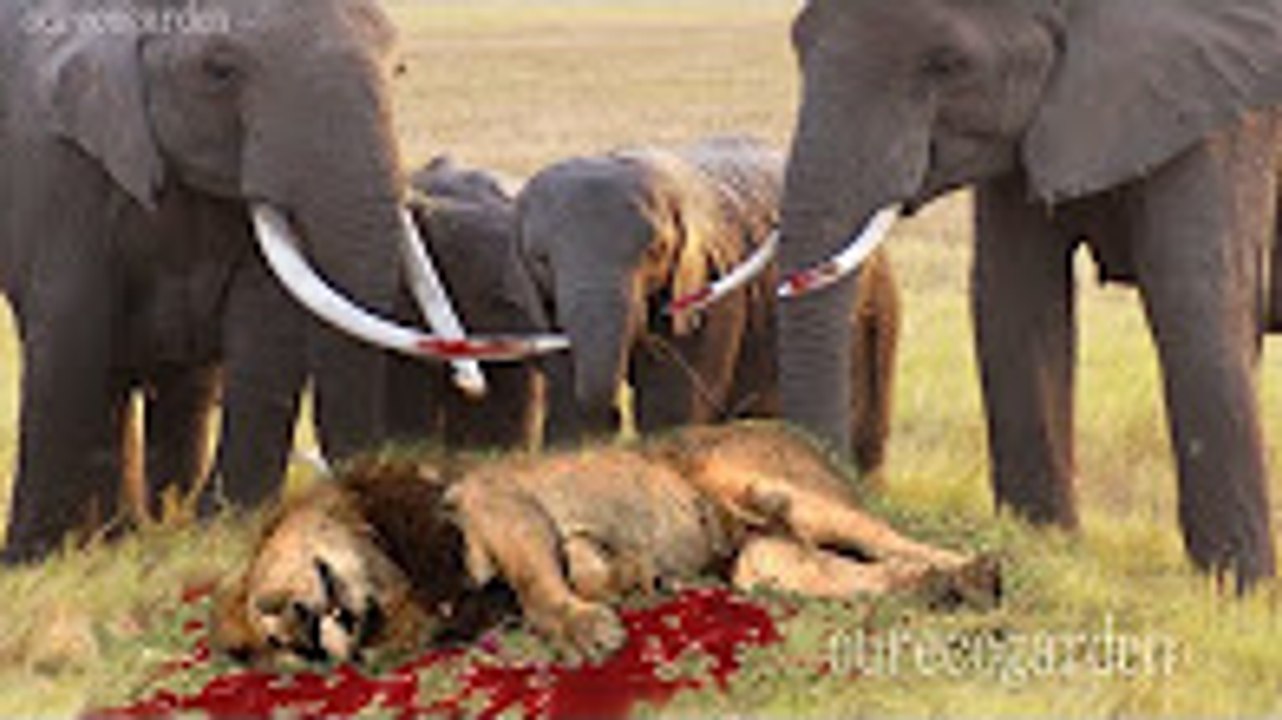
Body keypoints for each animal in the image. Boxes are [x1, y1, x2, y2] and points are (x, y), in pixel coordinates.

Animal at [0, 0, 502, 563]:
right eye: (219, 71)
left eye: (398, 70)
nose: (471, 383)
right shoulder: (50, 164)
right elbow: (70, 332)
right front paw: (32, 559)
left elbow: (266, 325)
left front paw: (224, 532)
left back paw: (141, 530)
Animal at [212, 423, 999, 665]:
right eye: (280, 647)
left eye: (272, 606)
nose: (310, 630)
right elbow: (574, 574)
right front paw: (618, 582)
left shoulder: (497, 501)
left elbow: (540, 586)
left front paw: (583, 627)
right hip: (763, 563)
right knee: (851, 570)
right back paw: (945, 590)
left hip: (772, 484)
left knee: (894, 539)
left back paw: (978, 573)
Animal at [515, 137, 900, 473]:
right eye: (541, 260)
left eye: (654, 251)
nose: (614, 419)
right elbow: (566, 408)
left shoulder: (711, 284)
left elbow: (669, 409)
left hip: (873, 295)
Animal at [772, 0, 1282, 586]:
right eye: (799, 43)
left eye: (947, 63)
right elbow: (1013, 300)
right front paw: (1046, 549)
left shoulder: (1224, 112)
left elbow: (1196, 302)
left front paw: (1238, 593)